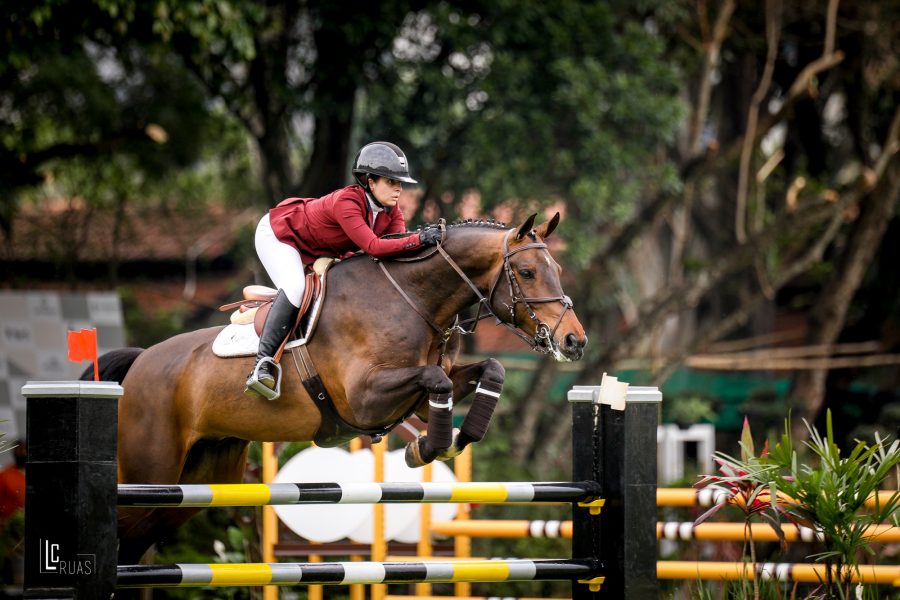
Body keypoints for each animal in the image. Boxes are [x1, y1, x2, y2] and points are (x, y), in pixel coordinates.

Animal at [88, 213, 588, 564]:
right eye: (527, 272)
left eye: (559, 267)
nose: (574, 341)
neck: (414, 300)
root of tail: (139, 362)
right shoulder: (365, 398)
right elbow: (437, 379)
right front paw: (428, 448)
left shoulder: (419, 400)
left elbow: (490, 370)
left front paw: (457, 436)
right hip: (150, 471)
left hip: (198, 480)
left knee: (137, 539)